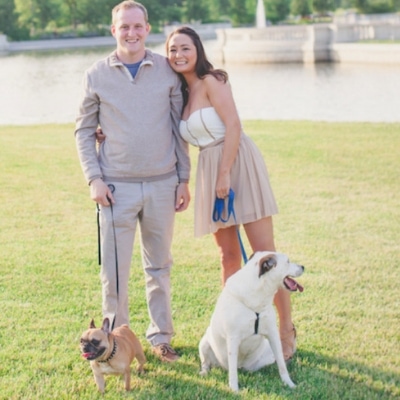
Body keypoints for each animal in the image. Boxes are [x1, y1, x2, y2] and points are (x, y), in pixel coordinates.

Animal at [198, 252, 304, 392]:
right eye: (287, 262)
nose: (303, 267)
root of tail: (243, 366)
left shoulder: (273, 335)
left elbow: (282, 365)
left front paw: (289, 383)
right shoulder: (233, 339)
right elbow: (232, 372)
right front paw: (234, 390)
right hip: (204, 343)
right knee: (207, 363)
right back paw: (204, 372)